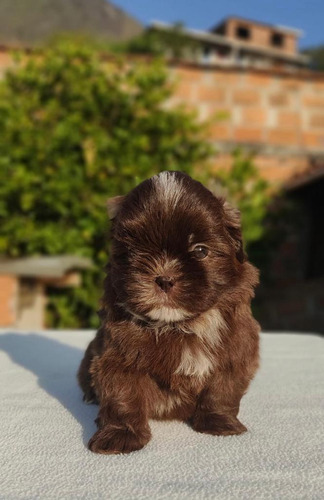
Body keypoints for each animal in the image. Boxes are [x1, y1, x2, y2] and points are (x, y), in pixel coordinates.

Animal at [77, 171, 260, 454]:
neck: (179, 326)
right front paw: (120, 436)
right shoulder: (116, 358)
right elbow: (122, 396)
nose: (164, 278)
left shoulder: (237, 350)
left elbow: (222, 389)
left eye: (200, 250)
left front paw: (219, 423)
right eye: (135, 250)